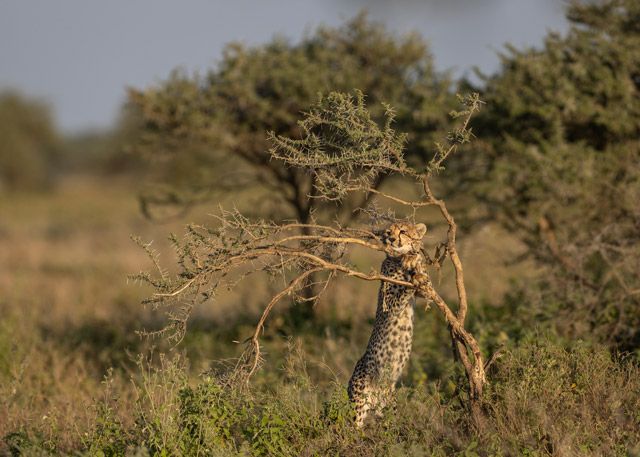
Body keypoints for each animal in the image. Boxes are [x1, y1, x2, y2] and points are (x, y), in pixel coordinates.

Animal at [348, 221, 432, 428]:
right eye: (388, 232)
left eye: (403, 231)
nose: (392, 239)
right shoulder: (389, 304)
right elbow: (403, 291)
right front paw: (412, 275)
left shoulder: (428, 291)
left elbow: (425, 281)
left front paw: (414, 261)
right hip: (357, 409)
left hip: (389, 410)